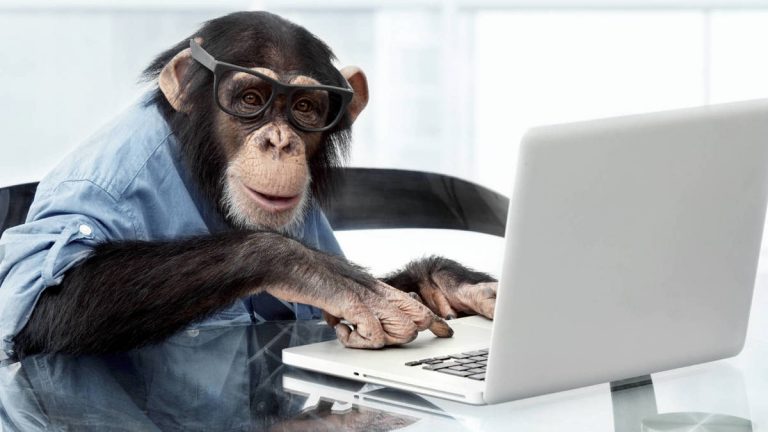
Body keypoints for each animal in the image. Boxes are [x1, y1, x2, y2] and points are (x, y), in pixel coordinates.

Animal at [0, 11, 497, 359]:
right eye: (251, 99)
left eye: (306, 108)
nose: (279, 140)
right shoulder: (108, 178)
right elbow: (43, 300)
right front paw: (319, 273)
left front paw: (448, 283)